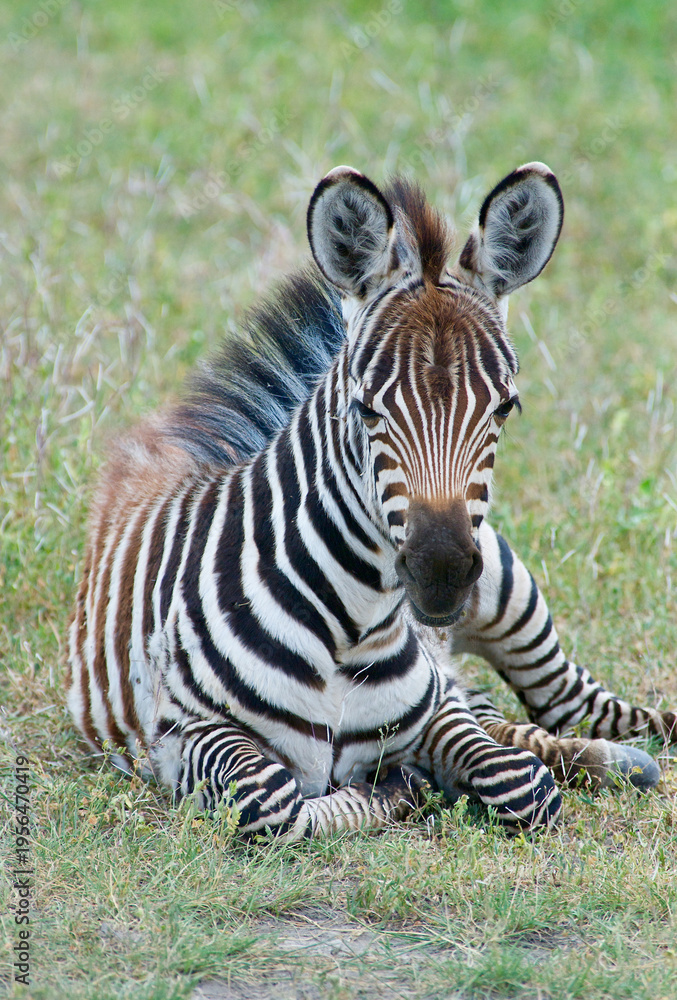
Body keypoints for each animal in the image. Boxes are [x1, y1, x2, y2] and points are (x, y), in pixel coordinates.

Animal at [68, 162, 676, 841]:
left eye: (505, 407)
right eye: (365, 408)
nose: (440, 573)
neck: (349, 627)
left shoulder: (439, 708)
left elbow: (521, 782)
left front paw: (430, 781)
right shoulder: (184, 733)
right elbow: (271, 797)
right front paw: (399, 789)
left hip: (508, 593)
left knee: (568, 706)